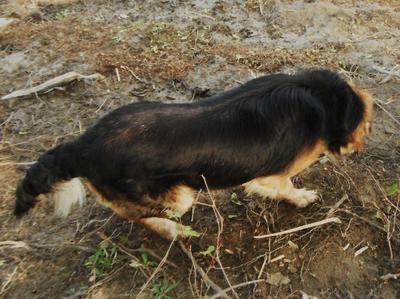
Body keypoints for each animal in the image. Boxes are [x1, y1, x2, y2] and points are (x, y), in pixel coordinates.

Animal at [13, 69, 376, 240]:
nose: (361, 145)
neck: (319, 96)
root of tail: (83, 144)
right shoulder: (272, 175)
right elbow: (285, 187)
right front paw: (301, 198)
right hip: (178, 197)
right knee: (139, 217)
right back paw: (174, 231)